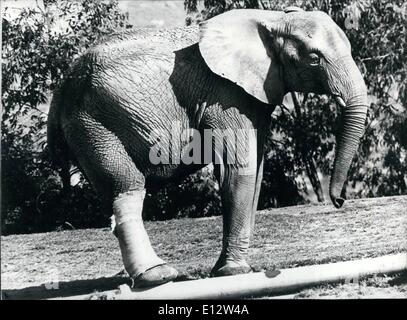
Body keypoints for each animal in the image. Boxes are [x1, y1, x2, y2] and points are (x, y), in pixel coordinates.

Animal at [47, 7, 370, 288]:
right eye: (314, 59)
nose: (339, 200)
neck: (273, 19)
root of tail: (61, 88)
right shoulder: (224, 94)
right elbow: (239, 169)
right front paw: (233, 272)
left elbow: (256, 171)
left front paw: (230, 269)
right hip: (96, 124)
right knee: (125, 187)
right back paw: (158, 276)